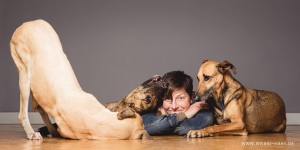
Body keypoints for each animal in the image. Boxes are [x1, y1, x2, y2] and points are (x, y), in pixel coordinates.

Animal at [10, 19, 149, 140]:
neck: (98, 122)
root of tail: (27, 23)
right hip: (24, 73)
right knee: (23, 113)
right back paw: (31, 133)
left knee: (40, 108)